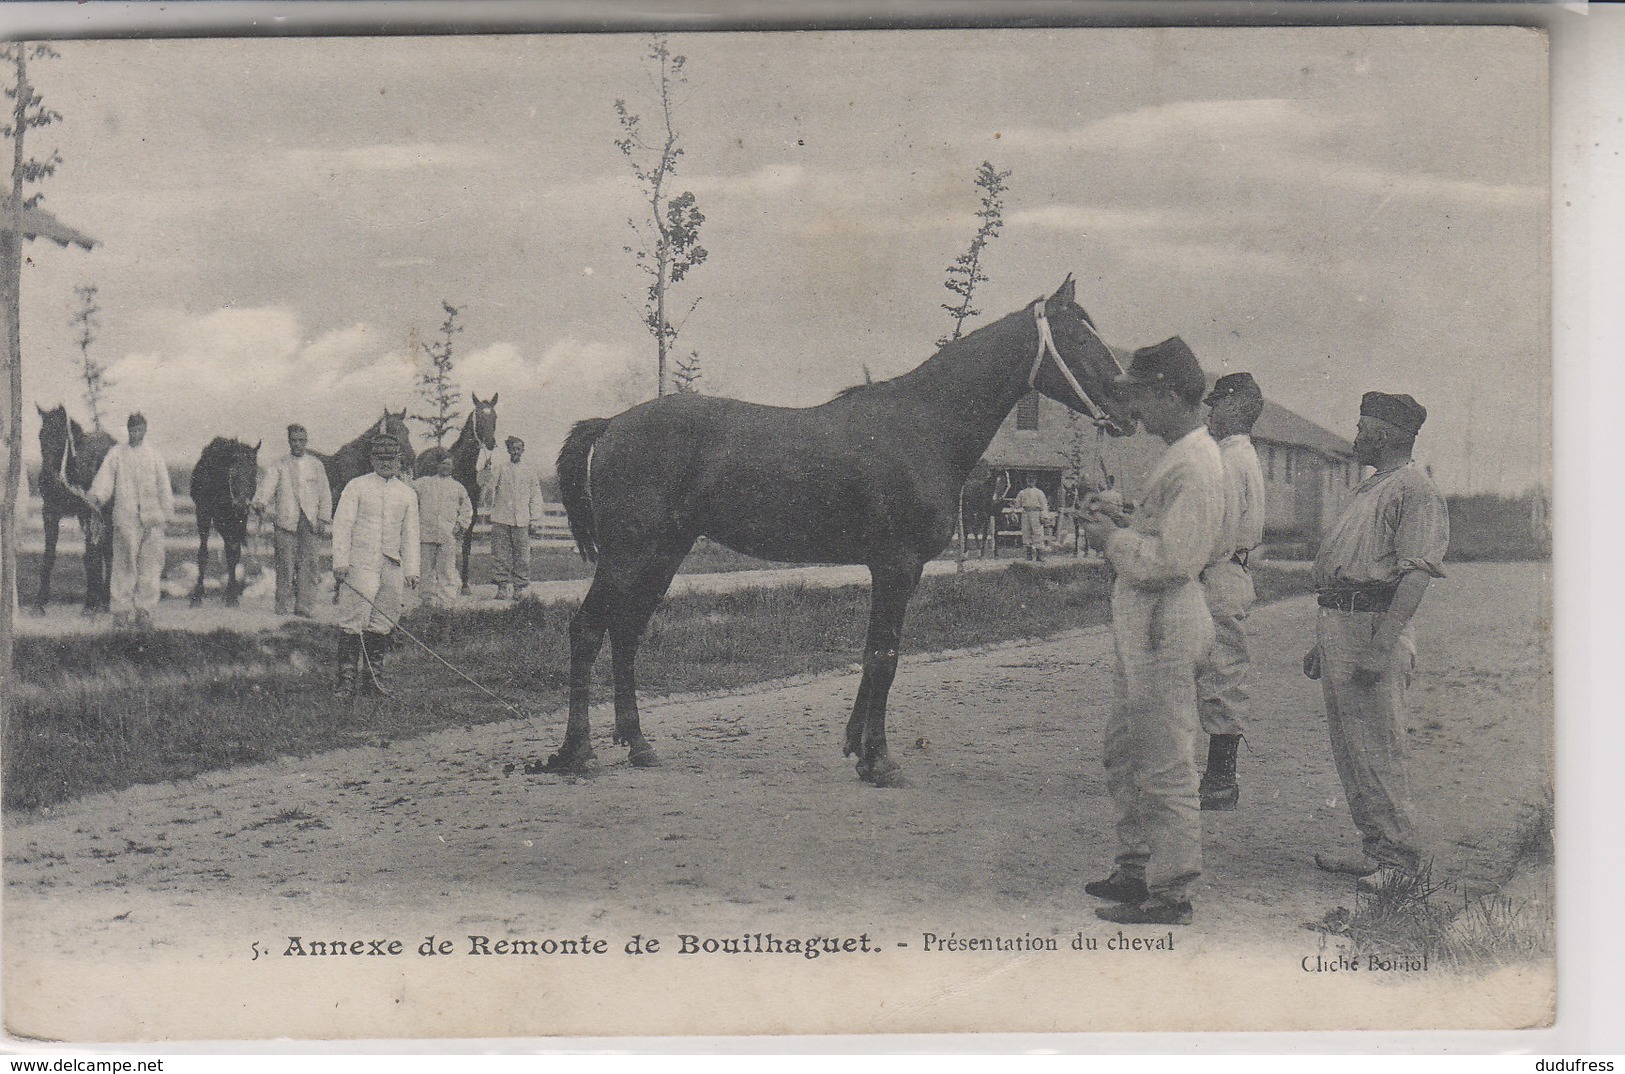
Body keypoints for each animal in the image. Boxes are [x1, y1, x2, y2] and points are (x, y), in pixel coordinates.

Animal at [31, 402, 114, 614]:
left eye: (60, 436)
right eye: (40, 436)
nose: (48, 478)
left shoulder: (87, 511)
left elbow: (90, 556)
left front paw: (90, 603)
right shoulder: (50, 513)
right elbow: (49, 556)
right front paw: (40, 603)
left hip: (105, 515)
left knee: (108, 551)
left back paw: (105, 599)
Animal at [186, 432, 260, 604]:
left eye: (254, 473)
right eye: (233, 473)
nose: (241, 505)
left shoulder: (238, 519)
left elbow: (233, 552)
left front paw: (232, 594)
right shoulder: (203, 513)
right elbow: (203, 553)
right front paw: (197, 594)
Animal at [546, 274, 1131, 786]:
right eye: (1080, 336)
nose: (1127, 404)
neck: (922, 424)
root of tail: (612, 424)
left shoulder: (895, 570)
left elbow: (873, 655)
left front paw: (858, 748)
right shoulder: (896, 565)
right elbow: (885, 659)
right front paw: (882, 762)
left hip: (662, 554)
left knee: (625, 633)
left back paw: (638, 744)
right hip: (628, 555)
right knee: (588, 630)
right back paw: (577, 752)